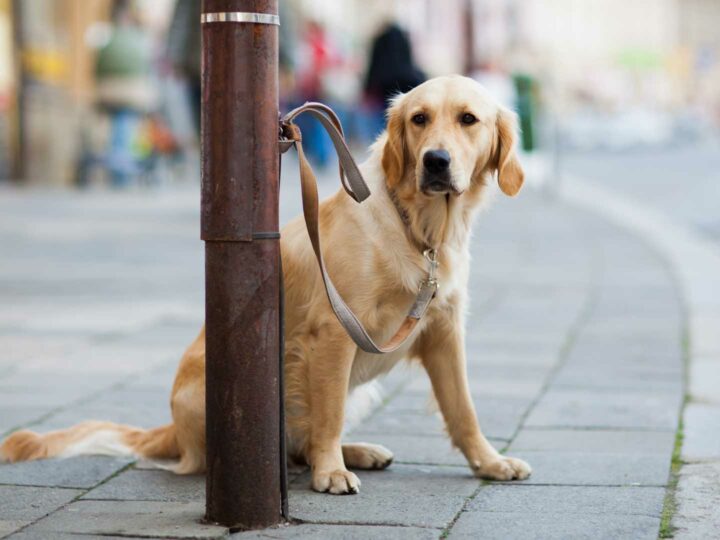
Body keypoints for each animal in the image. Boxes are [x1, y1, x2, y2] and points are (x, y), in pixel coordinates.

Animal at [0, 75, 528, 494]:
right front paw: (330, 473)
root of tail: (171, 429)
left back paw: (357, 451)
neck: (420, 228)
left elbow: (463, 409)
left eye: (468, 119)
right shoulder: (335, 331)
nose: (436, 161)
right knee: (291, 442)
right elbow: (328, 415)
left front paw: (489, 461)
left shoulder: (443, 331)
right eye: (420, 119)